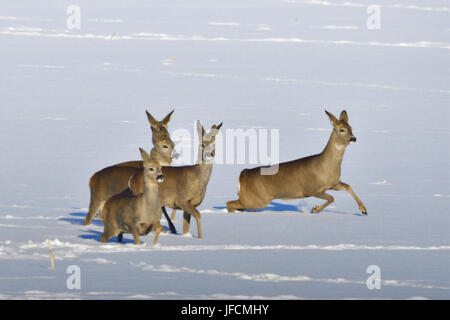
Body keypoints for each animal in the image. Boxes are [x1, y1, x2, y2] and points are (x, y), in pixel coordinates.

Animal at [227, 110, 368, 215]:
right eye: (341, 129)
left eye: (351, 128)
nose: (353, 138)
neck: (326, 167)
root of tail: (242, 175)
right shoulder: (310, 189)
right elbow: (331, 198)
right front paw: (315, 209)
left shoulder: (332, 184)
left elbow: (348, 186)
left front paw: (364, 210)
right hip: (256, 199)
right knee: (230, 203)